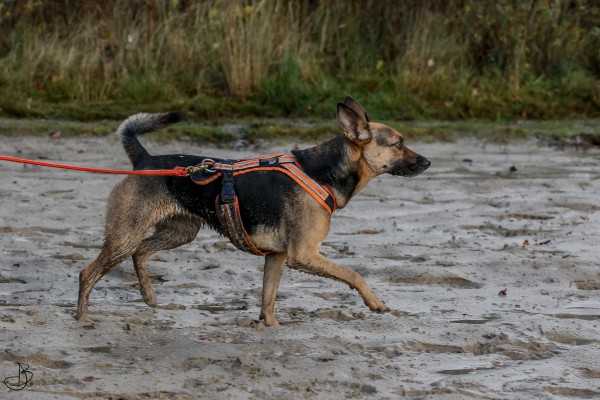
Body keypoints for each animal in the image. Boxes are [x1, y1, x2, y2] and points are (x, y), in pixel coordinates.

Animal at [76, 96, 432, 324]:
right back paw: (82, 318)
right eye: (399, 143)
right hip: (125, 235)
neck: (322, 172)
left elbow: (268, 302)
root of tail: (144, 159)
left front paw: (270, 329)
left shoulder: (277, 257)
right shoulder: (303, 255)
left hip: (180, 232)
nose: (428, 162)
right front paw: (375, 302)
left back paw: (149, 296)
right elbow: (353, 273)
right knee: (88, 273)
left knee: (140, 253)